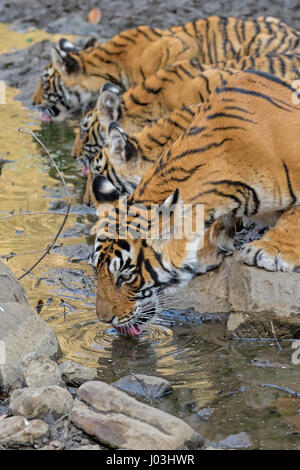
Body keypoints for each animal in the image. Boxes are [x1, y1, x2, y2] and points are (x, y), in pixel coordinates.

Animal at [91, 70, 300, 336]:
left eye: (126, 277)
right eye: (95, 269)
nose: (103, 319)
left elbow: (294, 215)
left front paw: (270, 250)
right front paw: (207, 247)